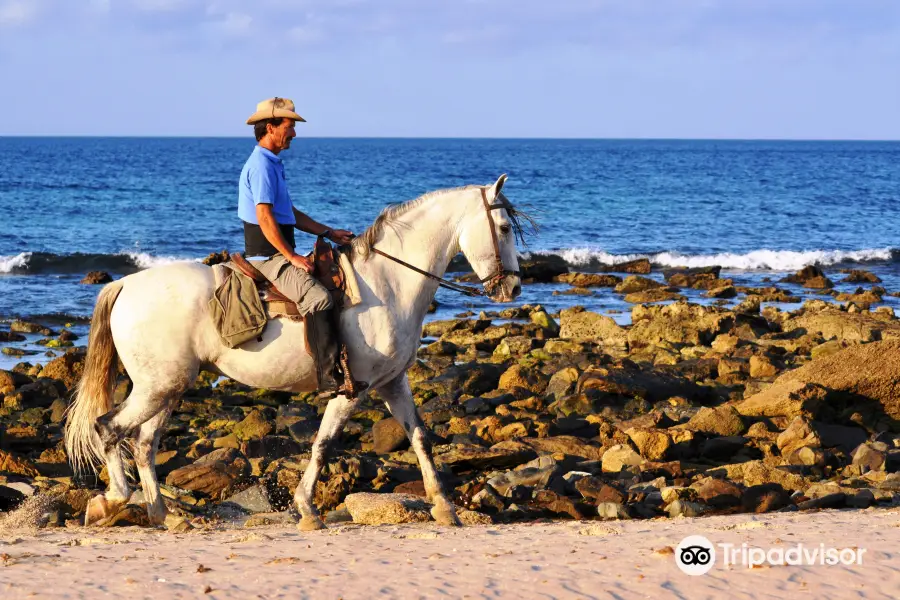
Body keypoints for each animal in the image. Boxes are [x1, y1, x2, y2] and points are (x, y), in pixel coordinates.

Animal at [67, 175, 528, 528]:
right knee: (109, 428)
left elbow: (420, 439)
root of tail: (125, 284)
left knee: (143, 443)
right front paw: (307, 510)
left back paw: (164, 515)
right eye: (505, 228)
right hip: (158, 386)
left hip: (167, 387)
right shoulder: (354, 388)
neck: (388, 282)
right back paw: (112, 501)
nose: (513, 288)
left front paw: (445, 508)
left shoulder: (392, 382)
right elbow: (323, 444)